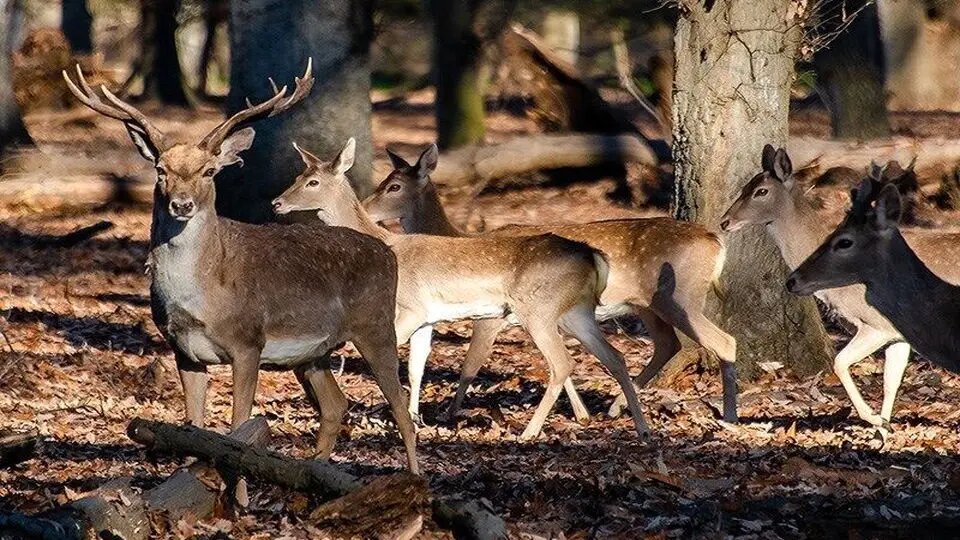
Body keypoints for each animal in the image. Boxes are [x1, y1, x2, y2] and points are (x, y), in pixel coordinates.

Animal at [62, 63, 418, 472]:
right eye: (161, 169)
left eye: (208, 171)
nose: (181, 205)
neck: (202, 295)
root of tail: (386, 250)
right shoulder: (183, 351)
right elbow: (194, 427)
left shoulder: (248, 342)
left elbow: (238, 430)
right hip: (313, 353)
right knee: (335, 405)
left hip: (376, 325)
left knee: (401, 408)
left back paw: (413, 476)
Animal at [274, 139, 656, 442]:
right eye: (295, 177)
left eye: (312, 181)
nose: (277, 202)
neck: (388, 244)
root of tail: (593, 257)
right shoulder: (426, 317)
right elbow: (416, 365)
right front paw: (414, 418)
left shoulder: (409, 307)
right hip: (576, 312)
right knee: (615, 357)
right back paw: (641, 428)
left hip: (538, 309)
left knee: (563, 363)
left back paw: (529, 432)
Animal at [364, 146, 740, 424]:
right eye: (384, 181)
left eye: (394, 186)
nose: (366, 209)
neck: (458, 239)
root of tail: (715, 242)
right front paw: (581, 413)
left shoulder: (492, 318)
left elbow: (471, 364)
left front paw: (449, 414)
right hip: (646, 304)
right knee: (666, 344)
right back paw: (617, 407)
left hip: (680, 295)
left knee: (719, 341)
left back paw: (729, 415)